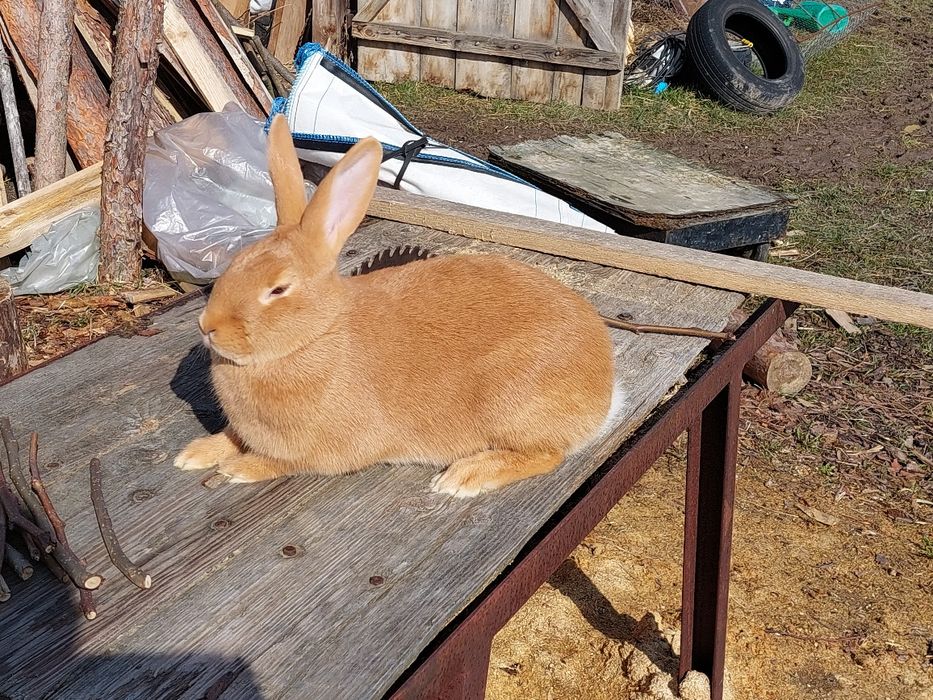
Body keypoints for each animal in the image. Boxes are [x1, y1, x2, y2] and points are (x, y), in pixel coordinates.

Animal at [176, 115, 624, 498]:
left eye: (278, 289)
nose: (207, 326)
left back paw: (463, 477)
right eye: (236, 262)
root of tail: (604, 388)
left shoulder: (330, 449)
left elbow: (283, 462)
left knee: (548, 455)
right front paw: (194, 454)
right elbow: (232, 437)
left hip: (512, 402)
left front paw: (238, 469)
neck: (316, 337)